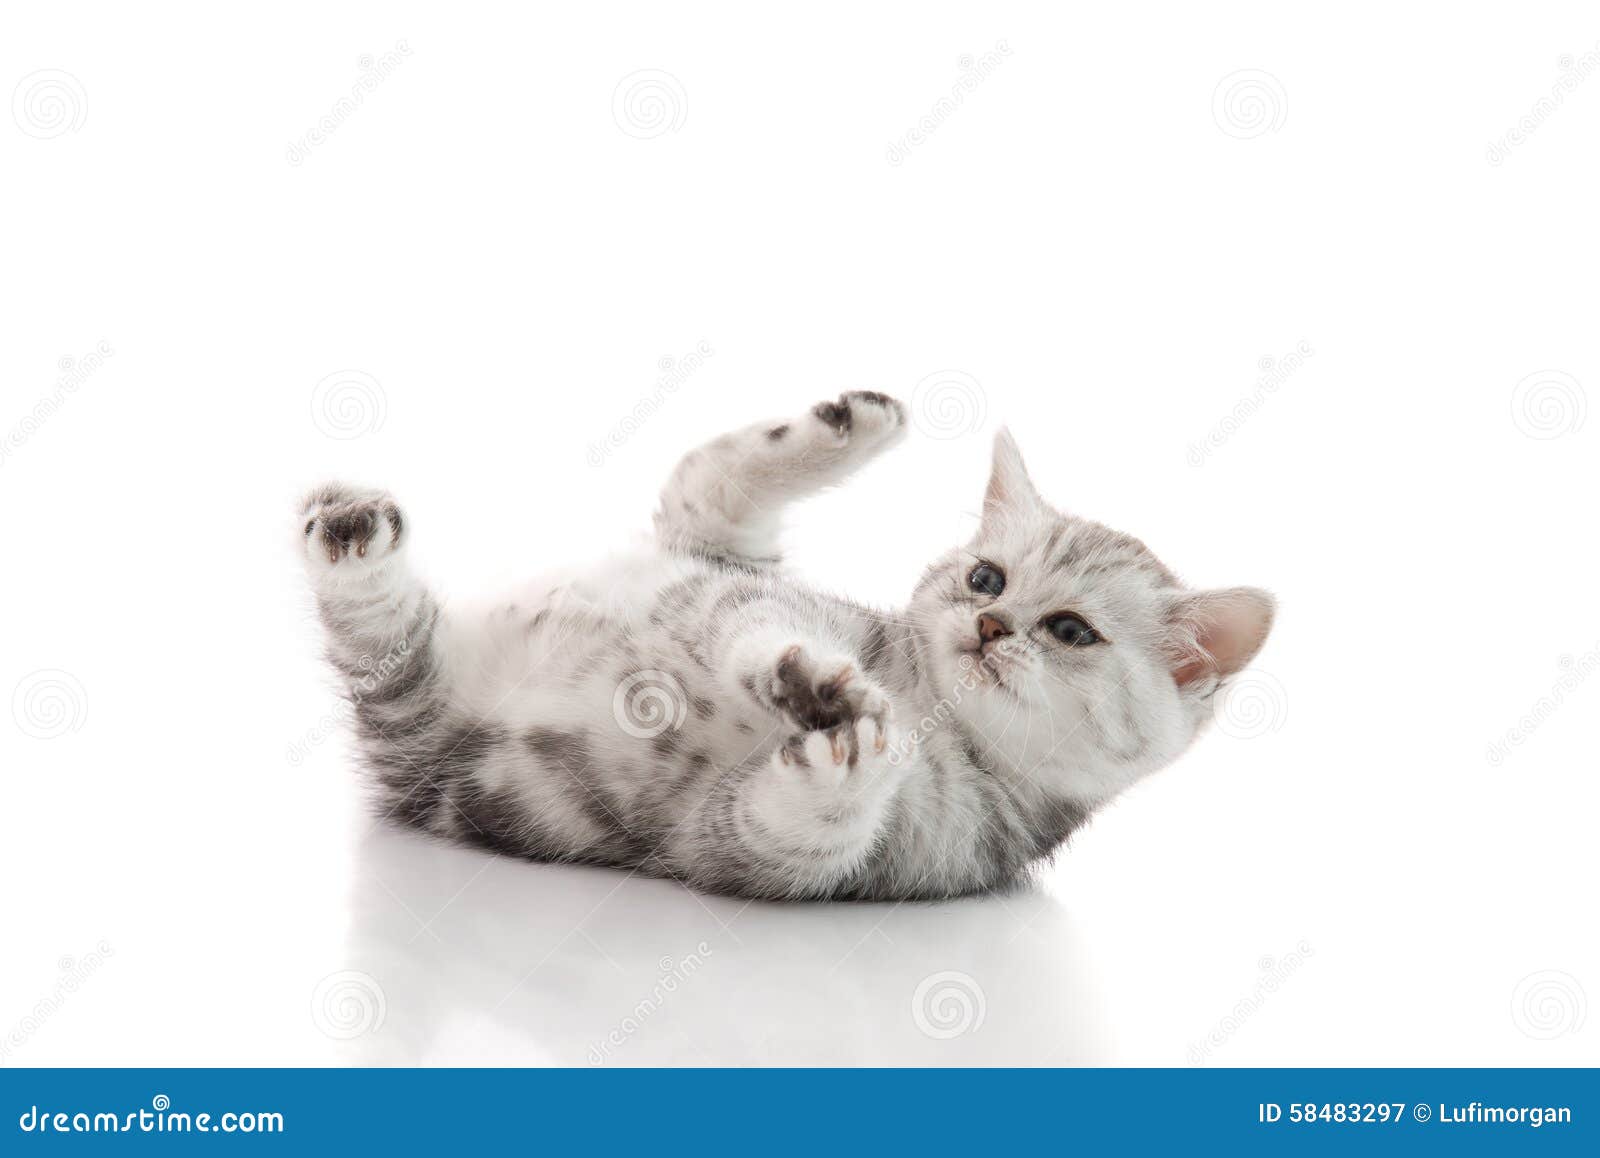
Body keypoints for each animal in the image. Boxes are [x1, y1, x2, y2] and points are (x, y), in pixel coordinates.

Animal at [302, 393, 1273, 902]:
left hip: (416, 716)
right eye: (987, 578)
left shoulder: (750, 845)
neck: (929, 710)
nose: (992, 624)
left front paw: (848, 744)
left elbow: (797, 824)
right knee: (712, 477)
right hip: (716, 547)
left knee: (385, 628)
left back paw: (348, 538)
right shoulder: (747, 601)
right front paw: (810, 678)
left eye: (1071, 630)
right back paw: (854, 418)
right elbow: (757, 632)